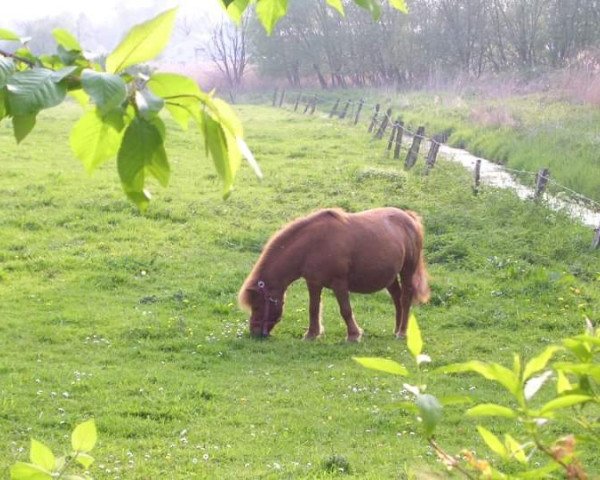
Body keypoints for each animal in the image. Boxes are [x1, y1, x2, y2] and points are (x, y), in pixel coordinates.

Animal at [237, 207, 428, 342]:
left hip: (407, 271)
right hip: (390, 277)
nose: (254, 332)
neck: (312, 245)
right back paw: (397, 329)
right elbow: (313, 309)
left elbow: (346, 310)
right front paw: (311, 334)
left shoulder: (339, 284)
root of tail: (409, 217)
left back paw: (402, 332)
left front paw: (353, 335)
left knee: (405, 298)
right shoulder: (313, 283)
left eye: (257, 306)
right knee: (397, 298)